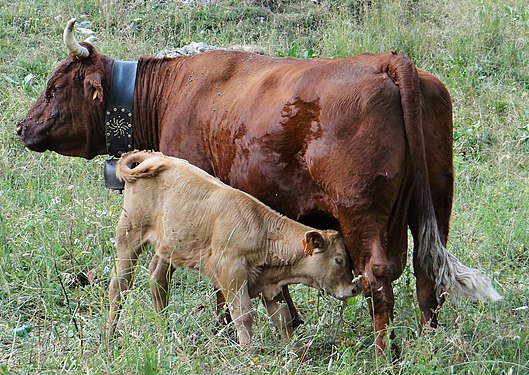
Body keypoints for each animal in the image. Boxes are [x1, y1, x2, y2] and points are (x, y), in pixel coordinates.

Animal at [107, 151, 356, 346]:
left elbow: (283, 318)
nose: (353, 289)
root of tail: (154, 157)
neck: (261, 229)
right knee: (119, 285)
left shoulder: (270, 286)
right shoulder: (232, 274)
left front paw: (292, 352)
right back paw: (110, 337)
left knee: (158, 281)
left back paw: (163, 334)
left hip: (168, 246)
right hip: (129, 236)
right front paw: (249, 352)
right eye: (339, 260)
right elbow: (243, 315)